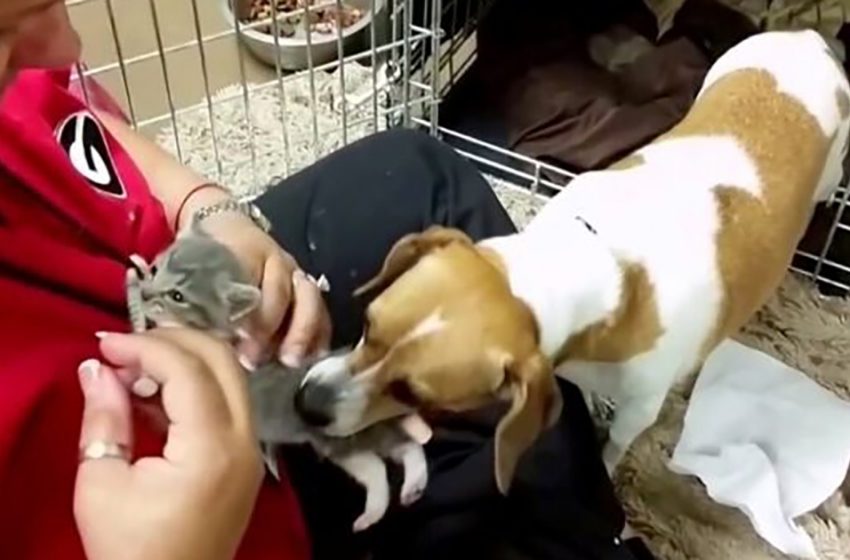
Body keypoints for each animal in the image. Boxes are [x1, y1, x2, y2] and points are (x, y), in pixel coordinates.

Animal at [123, 221, 428, 532]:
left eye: (178, 296)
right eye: (158, 269)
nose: (147, 293)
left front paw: (144, 377)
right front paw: (138, 274)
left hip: (340, 439)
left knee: (380, 465)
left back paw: (376, 509)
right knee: (401, 450)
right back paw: (407, 490)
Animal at [296, 31, 848, 494]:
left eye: (414, 394)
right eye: (369, 324)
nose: (307, 403)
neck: (595, 265)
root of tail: (810, 38)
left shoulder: (640, 408)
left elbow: (616, 445)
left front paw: (604, 469)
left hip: (832, 168)